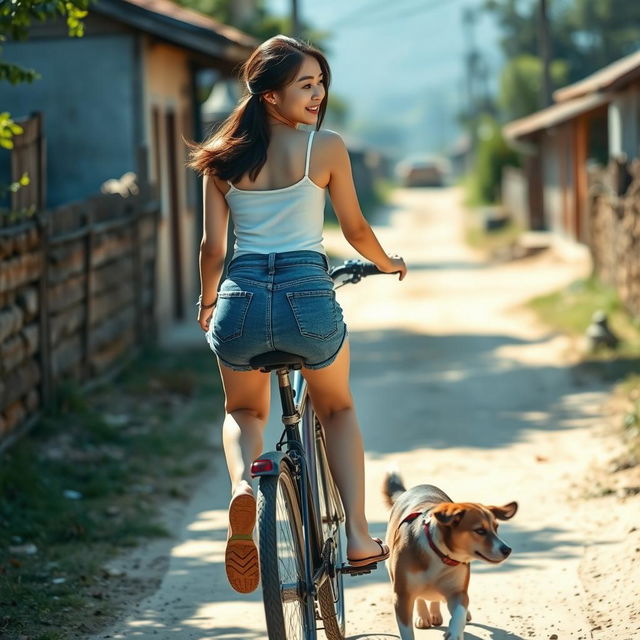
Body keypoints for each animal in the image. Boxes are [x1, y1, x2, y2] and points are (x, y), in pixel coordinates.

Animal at [382, 470, 516, 640]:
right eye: (480, 531)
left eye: (496, 528)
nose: (507, 550)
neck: (438, 553)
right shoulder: (402, 596)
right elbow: (407, 630)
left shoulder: (457, 592)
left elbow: (459, 612)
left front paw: (455, 632)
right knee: (421, 598)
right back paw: (424, 616)